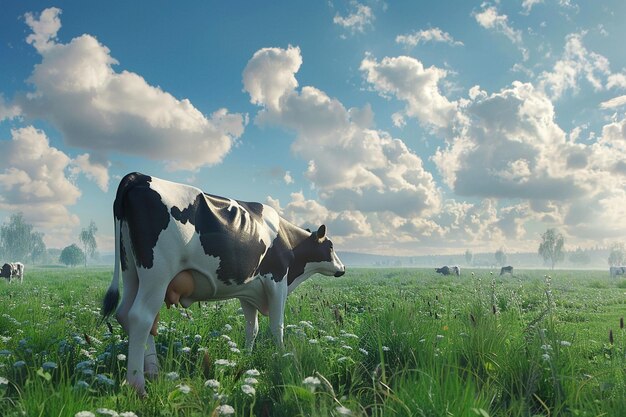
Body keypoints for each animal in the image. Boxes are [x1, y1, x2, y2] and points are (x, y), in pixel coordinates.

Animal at [102, 171, 346, 394]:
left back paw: (153, 371)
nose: (342, 269)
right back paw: (138, 385)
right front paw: (282, 356)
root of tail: (138, 176)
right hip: (158, 273)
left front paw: (246, 357)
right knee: (141, 317)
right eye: (331, 246)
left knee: (128, 314)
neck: (286, 238)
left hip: (132, 271)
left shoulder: (249, 290)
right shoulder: (277, 281)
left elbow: (252, 328)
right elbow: (277, 326)